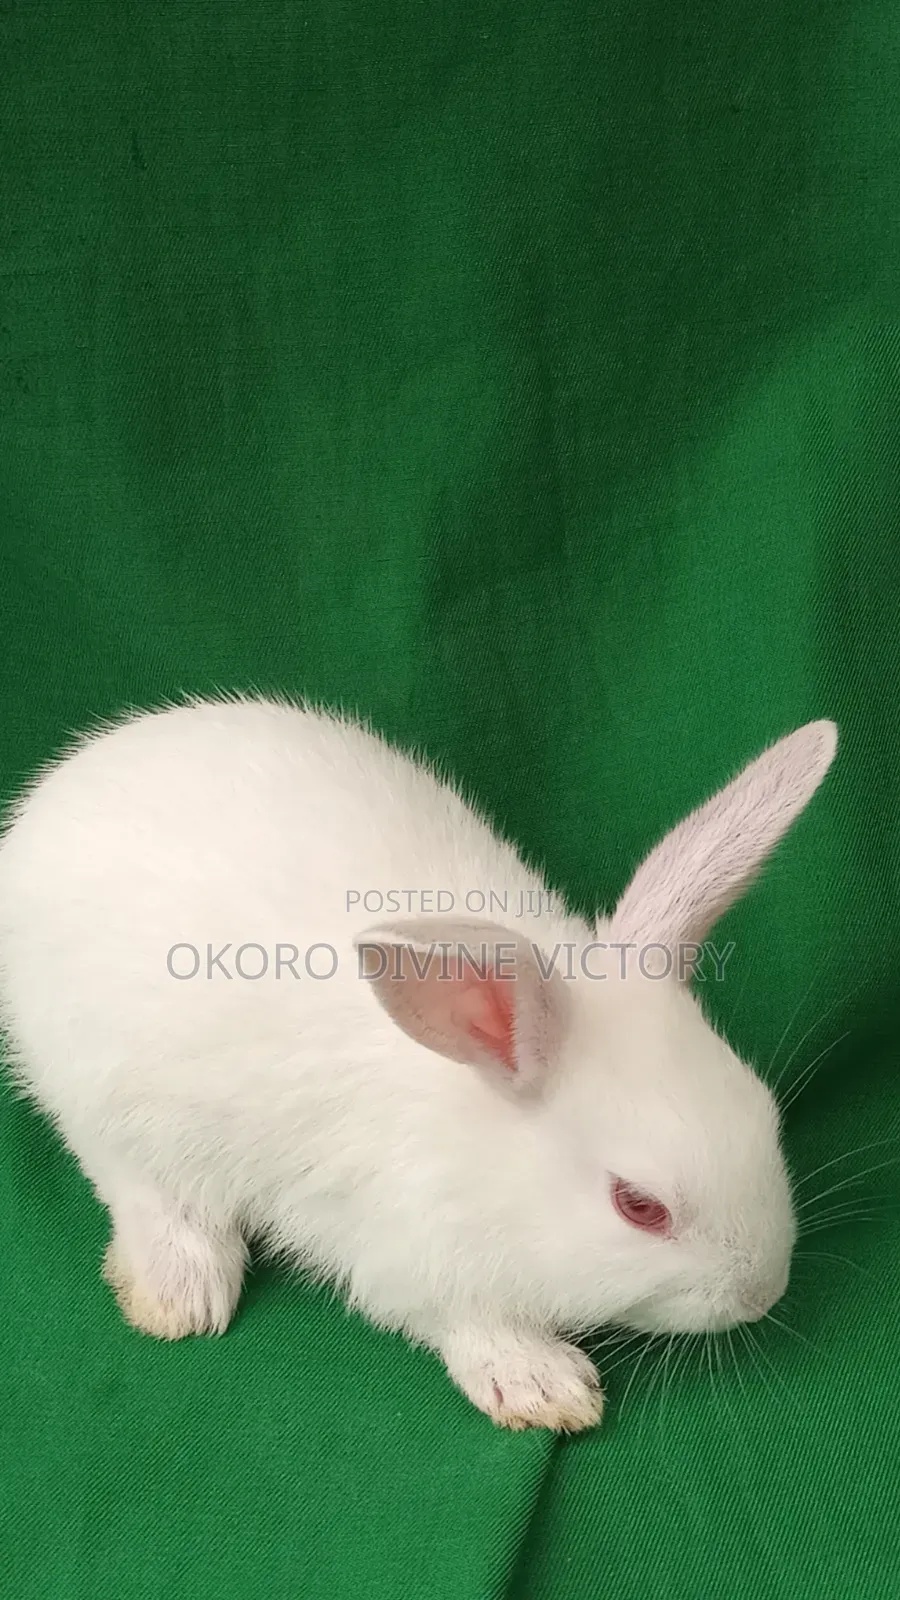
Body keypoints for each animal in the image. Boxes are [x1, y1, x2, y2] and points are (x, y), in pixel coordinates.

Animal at [0, 696, 837, 1431]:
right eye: (639, 1207)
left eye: (766, 1114)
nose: (764, 1292)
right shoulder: (400, 1254)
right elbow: (461, 1319)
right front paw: (541, 1385)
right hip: (100, 1089)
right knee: (137, 1183)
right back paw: (180, 1289)